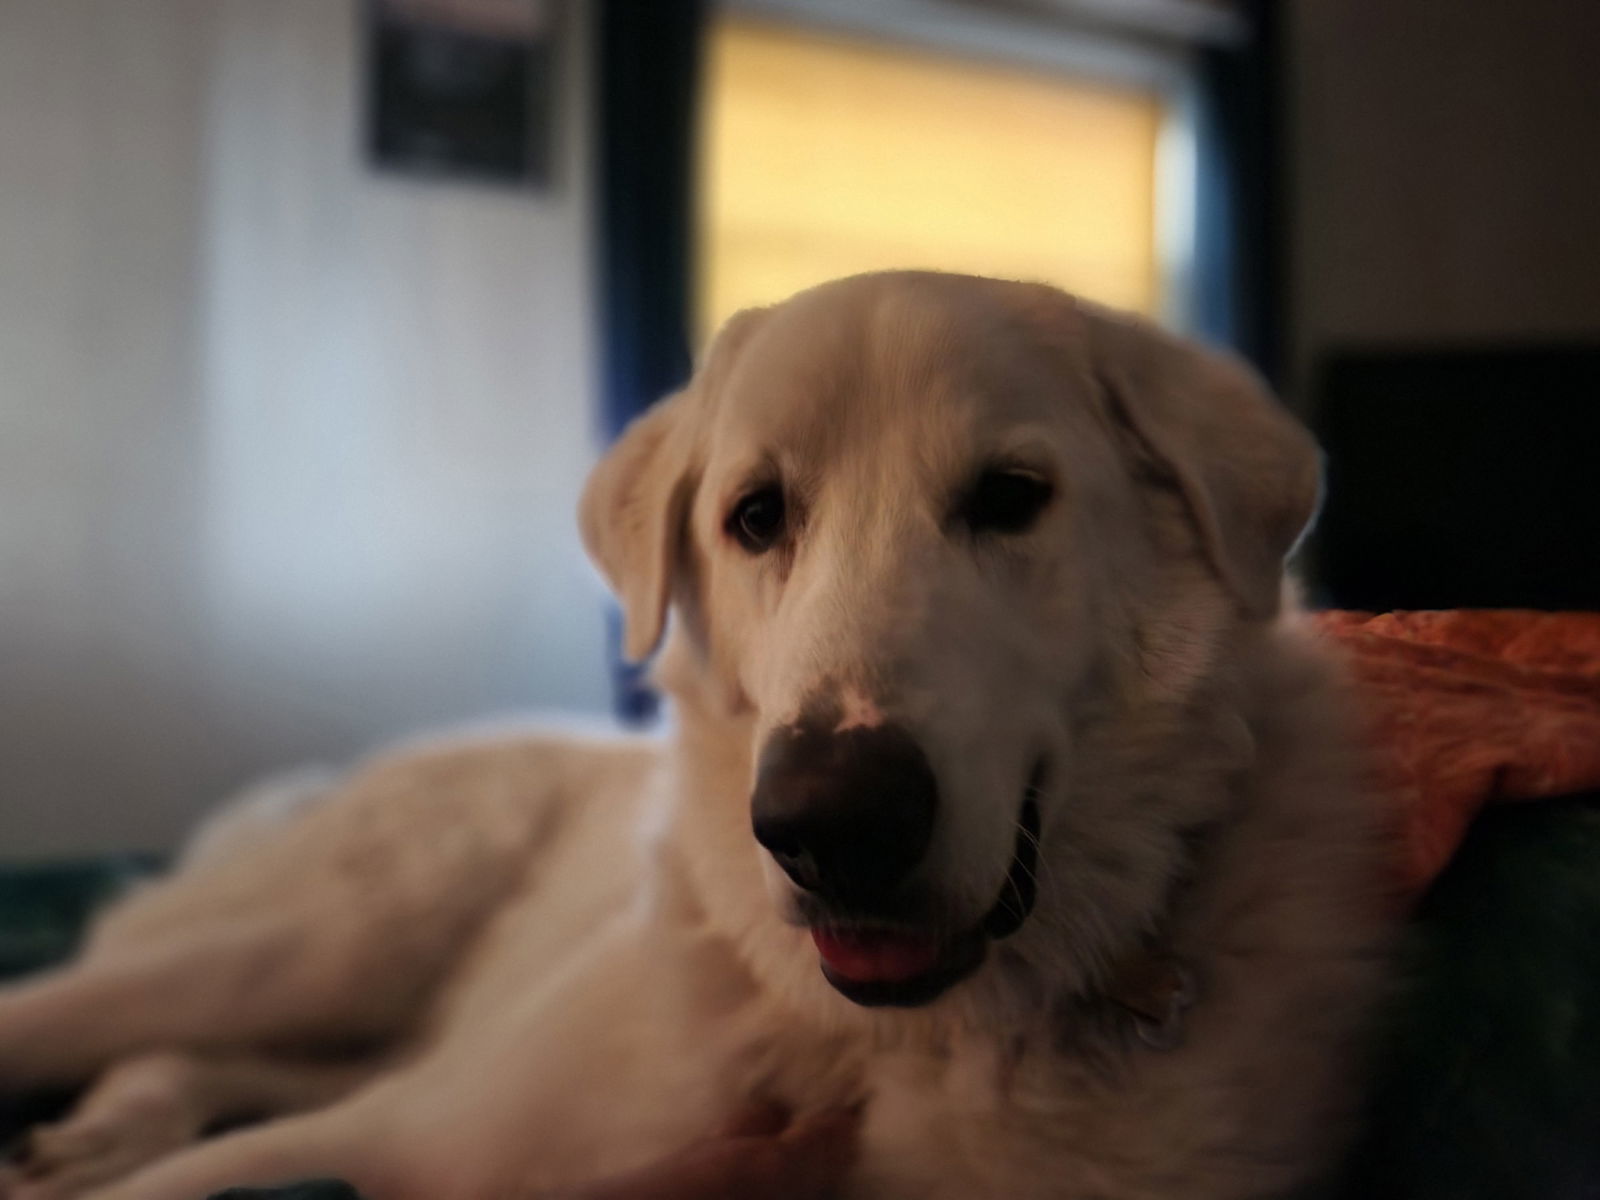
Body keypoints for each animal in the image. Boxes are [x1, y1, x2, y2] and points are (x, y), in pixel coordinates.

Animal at [0, 275, 1388, 1200]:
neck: (900, 1045)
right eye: (757, 516)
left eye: (1010, 500)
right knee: (83, 1012)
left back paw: (96, 1130)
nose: (832, 821)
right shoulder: (383, 1143)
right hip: (321, 945)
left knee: (201, 1059)